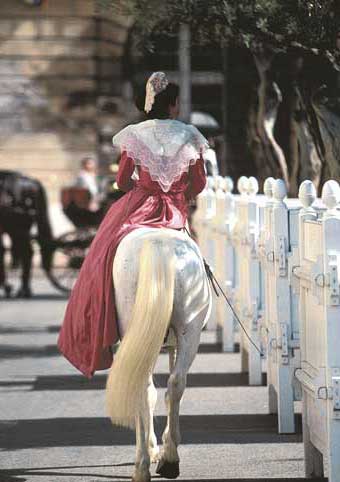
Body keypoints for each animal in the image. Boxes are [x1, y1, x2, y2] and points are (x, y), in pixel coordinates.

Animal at [0, 169, 53, 298]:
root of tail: (32, 181)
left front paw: (7, 286)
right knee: (27, 252)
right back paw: (24, 289)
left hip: (17, 227)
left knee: (26, 252)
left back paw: (23, 289)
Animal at [106, 227, 211, 482]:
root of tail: (158, 244)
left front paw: (152, 448)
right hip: (189, 332)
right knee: (175, 384)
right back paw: (170, 458)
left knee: (142, 388)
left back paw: (142, 465)